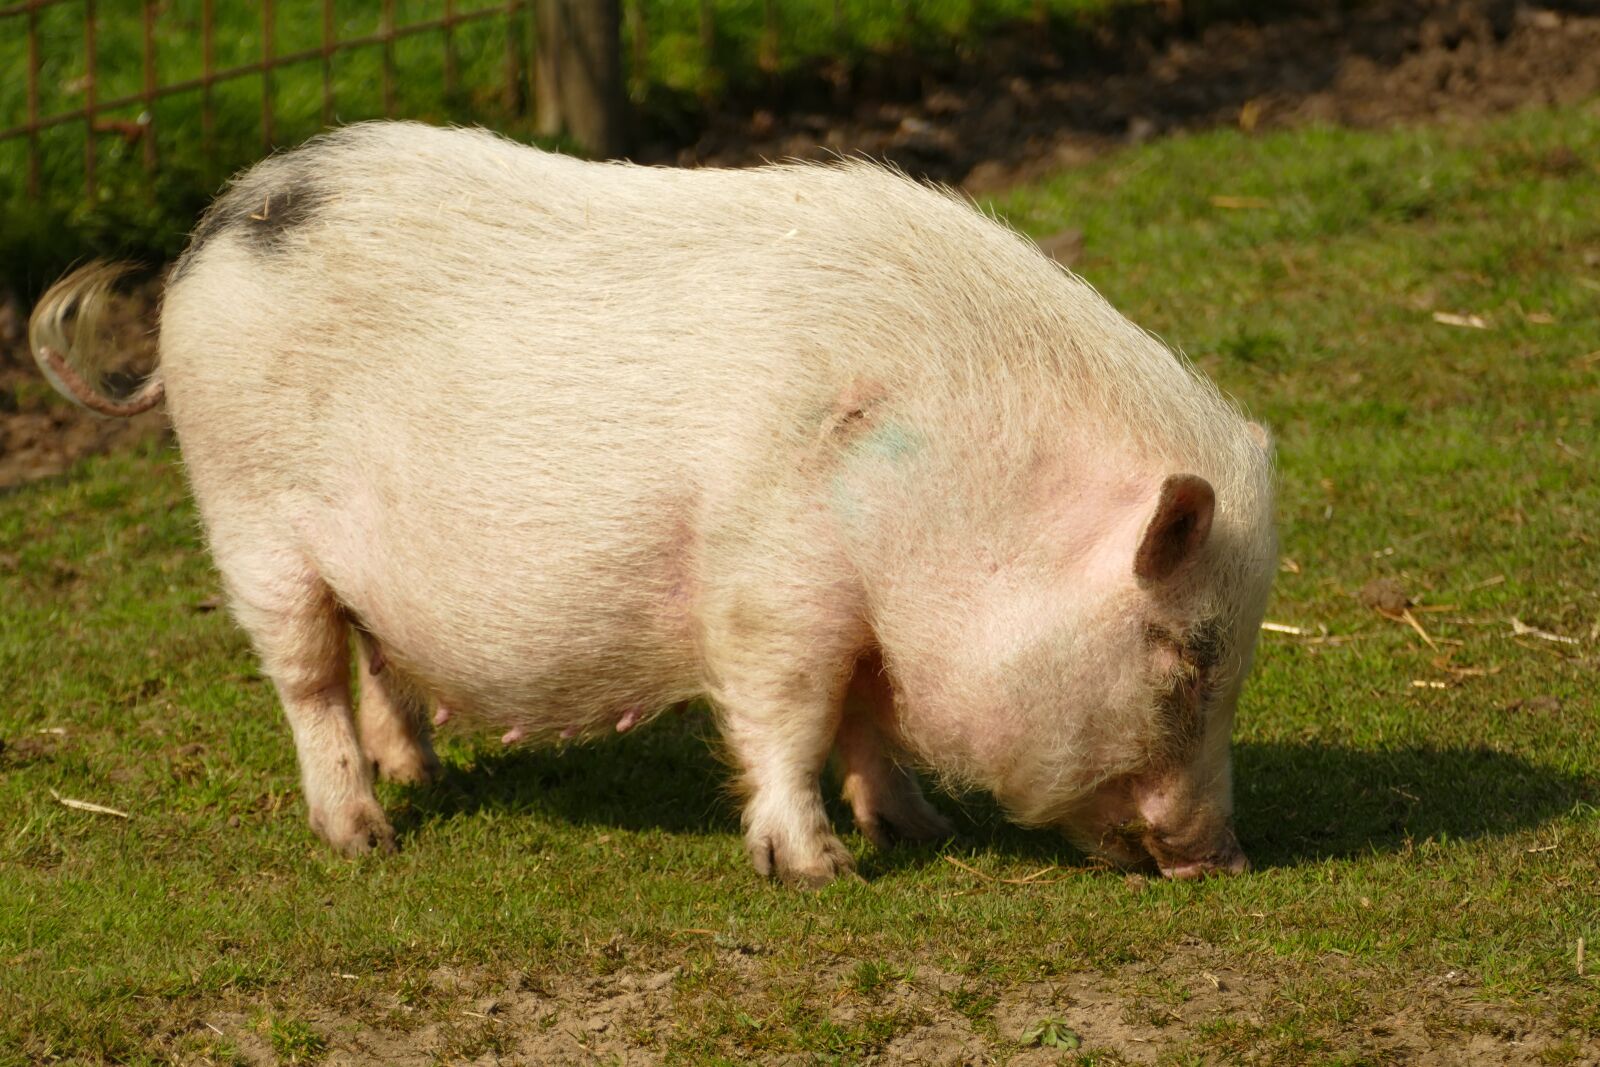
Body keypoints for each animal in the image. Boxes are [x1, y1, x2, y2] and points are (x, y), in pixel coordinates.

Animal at [29, 122, 1275, 885]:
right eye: (1187, 659)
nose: (1223, 855)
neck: (946, 488)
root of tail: (216, 230)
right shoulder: (772, 579)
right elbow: (789, 714)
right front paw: (817, 868)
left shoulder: (864, 615)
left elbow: (866, 719)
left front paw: (923, 826)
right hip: (249, 517)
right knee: (306, 677)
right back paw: (365, 836)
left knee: (376, 652)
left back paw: (419, 773)